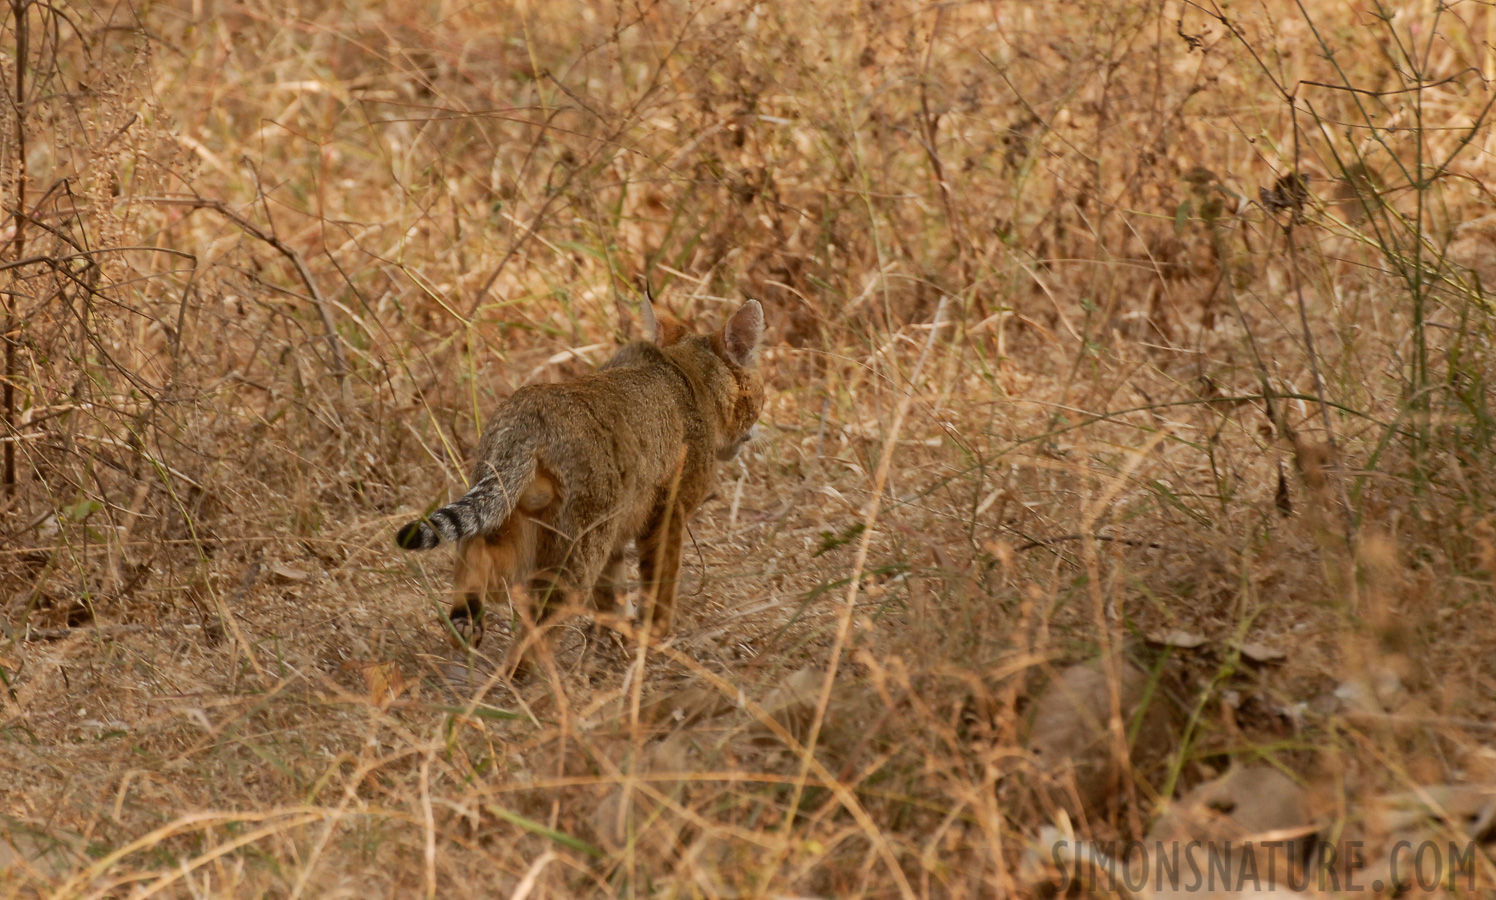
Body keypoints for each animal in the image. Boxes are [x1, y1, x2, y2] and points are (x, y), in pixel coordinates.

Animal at [394, 296, 765, 666]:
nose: (755, 432)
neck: (687, 375)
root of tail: (528, 413)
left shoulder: (620, 532)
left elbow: (612, 592)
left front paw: (619, 635)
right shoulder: (668, 514)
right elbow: (661, 580)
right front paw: (654, 634)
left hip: (512, 517)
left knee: (474, 556)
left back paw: (466, 625)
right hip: (578, 548)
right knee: (534, 636)